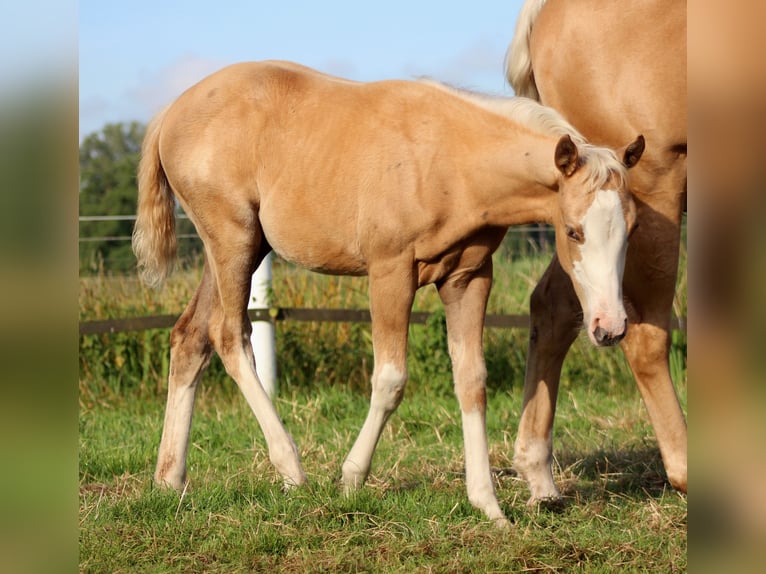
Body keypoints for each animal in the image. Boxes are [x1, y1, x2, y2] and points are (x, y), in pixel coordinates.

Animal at [132, 60, 644, 526]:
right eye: (573, 231)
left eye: (632, 229)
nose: (610, 327)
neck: (449, 160)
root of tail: (171, 113)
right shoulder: (390, 272)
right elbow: (390, 378)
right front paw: (351, 478)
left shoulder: (469, 277)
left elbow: (472, 380)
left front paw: (488, 505)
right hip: (232, 239)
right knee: (228, 334)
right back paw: (292, 469)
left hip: (240, 247)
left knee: (190, 337)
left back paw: (170, 480)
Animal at [506, 0, 687, 504]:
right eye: (572, 230)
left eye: (631, 227)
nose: (608, 329)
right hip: (659, 176)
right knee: (646, 338)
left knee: (552, 306)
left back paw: (539, 475)